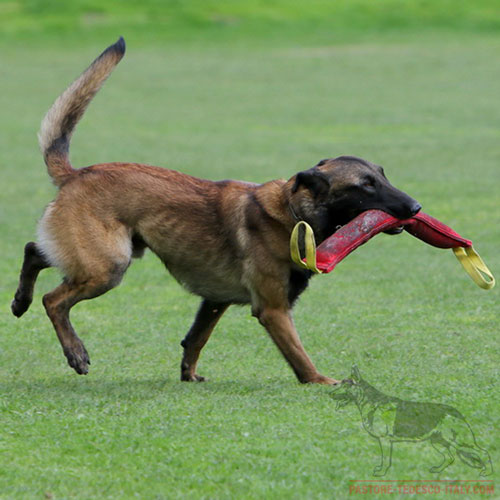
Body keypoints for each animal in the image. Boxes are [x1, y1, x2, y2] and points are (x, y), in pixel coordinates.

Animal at [10, 38, 422, 382]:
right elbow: (299, 356)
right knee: (53, 300)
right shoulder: (273, 310)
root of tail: (77, 173)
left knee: (35, 251)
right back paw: (74, 352)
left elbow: (195, 339)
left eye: (383, 175)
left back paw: (19, 301)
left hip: (106, 254)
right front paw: (323, 382)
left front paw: (188, 376)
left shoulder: (215, 300)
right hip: (108, 265)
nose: (416, 207)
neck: (292, 214)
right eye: (365, 186)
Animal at [332, 368, 492, 476]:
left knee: (483, 452)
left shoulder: (385, 441)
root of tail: (456, 411)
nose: (329, 393)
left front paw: (382, 473)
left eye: (344, 385)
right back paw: (438, 470)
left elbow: (386, 459)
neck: (372, 402)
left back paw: (488, 472)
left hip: (460, 441)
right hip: (437, 441)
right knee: (450, 457)